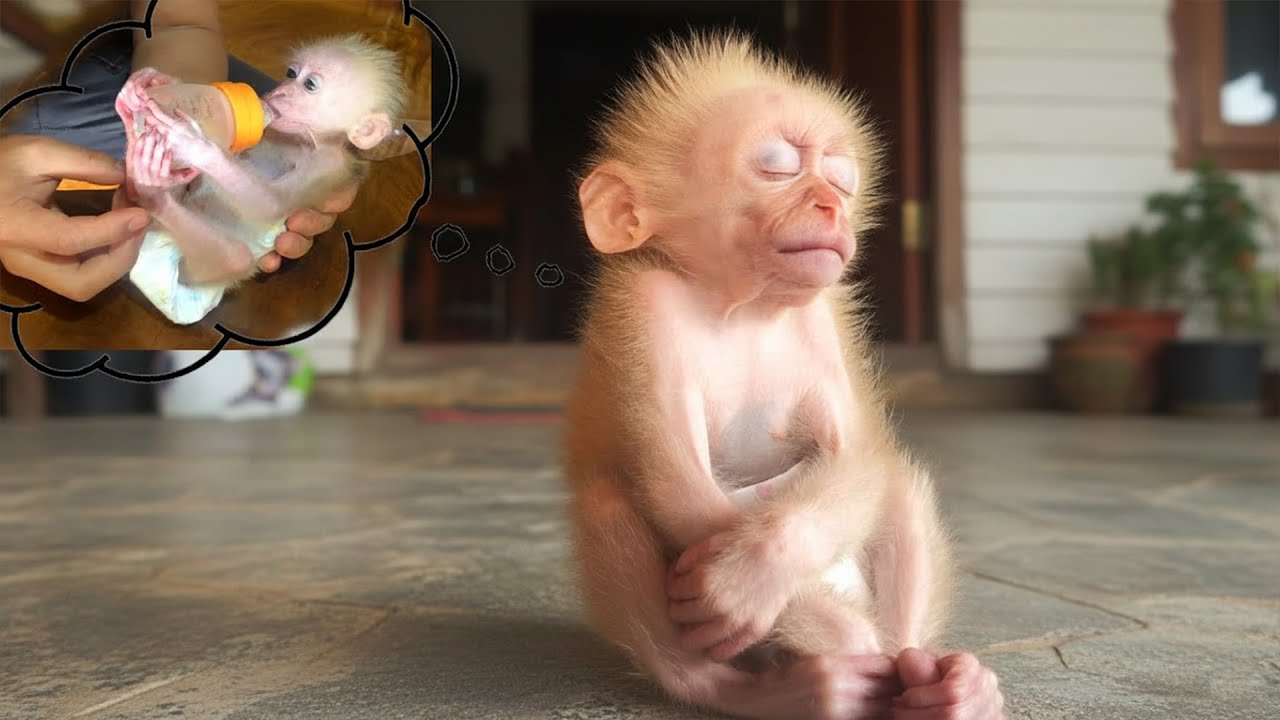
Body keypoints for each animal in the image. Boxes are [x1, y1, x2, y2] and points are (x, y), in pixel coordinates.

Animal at [115, 33, 408, 325]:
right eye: (291, 73)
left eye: (310, 85)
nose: (280, 93)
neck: (299, 139)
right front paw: (159, 83)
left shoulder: (328, 165)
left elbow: (272, 205)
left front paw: (195, 144)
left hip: (195, 270)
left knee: (235, 259)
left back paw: (152, 195)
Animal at [561, 31, 1005, 720]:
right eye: (776, 167)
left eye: (841, 181)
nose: (829, 207)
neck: (739, 304)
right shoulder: (643, 305)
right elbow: (675, 484)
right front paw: (835, 632)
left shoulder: (821, 318)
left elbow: (859, 458)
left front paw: (755, 573)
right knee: (610, 502)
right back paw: (779, 689)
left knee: (894, 480)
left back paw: (941, 683)